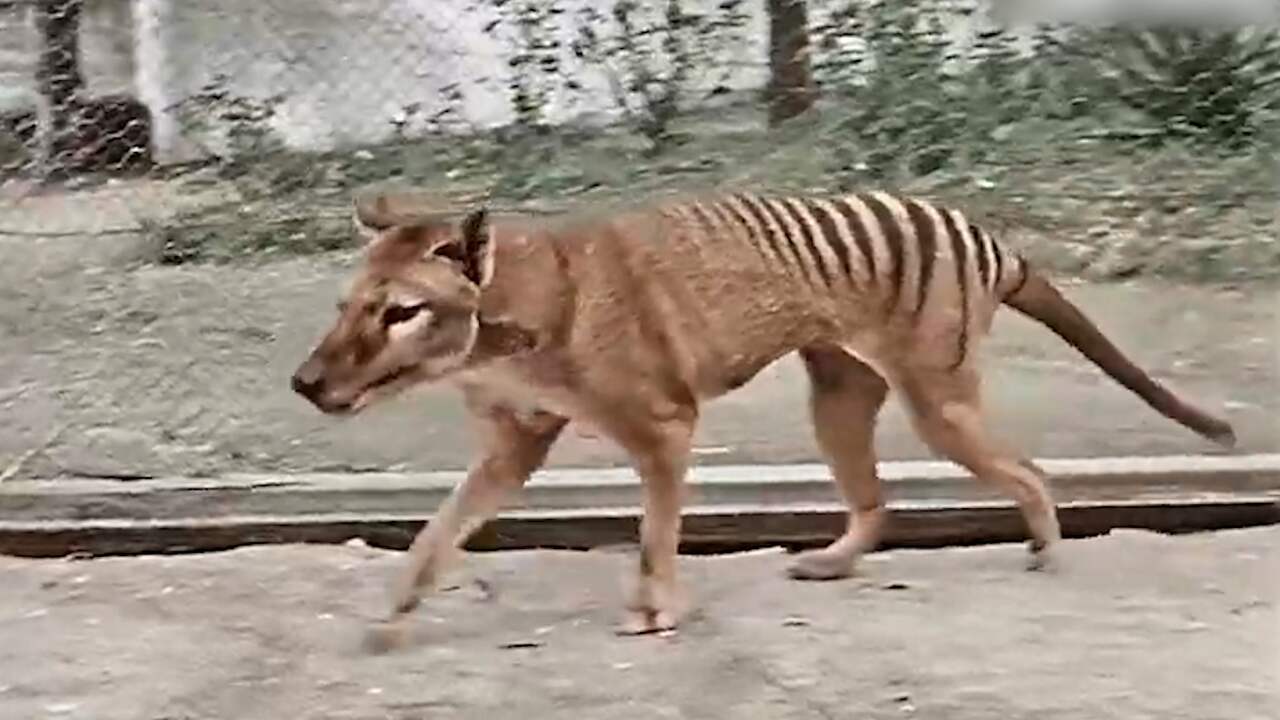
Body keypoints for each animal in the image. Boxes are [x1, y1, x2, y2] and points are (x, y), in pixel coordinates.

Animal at [293, 185, 1239, 645]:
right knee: (877, 500)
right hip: (840, 398)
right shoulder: (512, 444)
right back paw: (833, 562)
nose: (305, 382)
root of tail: (989, 237)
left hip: (938, 402)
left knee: (1028, 471)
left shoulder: (664, 427)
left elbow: (654, 536)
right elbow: (436, 533)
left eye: (401, 312)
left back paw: (1044, 549)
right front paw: (397, 607)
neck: (511, 320)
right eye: (345, 305)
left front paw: (654, 611)